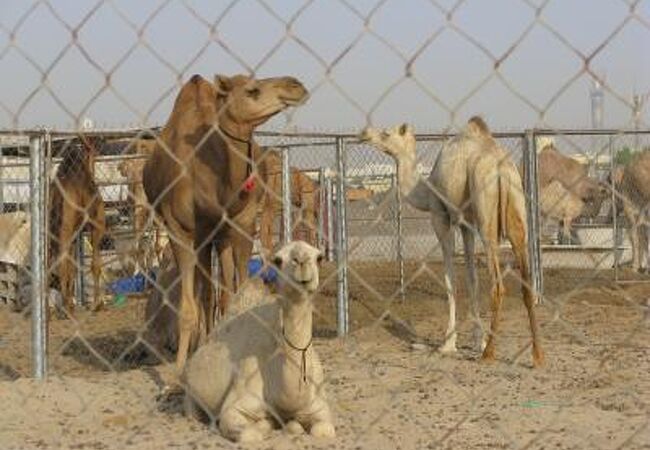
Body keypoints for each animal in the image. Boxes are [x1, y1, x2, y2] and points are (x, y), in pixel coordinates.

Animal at [48, 135, 105, 318]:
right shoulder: (97, 224)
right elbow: (95, 264)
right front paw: (97, 304)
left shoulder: (74, 234)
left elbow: (73, 267)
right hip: (66, 228)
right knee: (61, 261)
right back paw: (67, 310)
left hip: (52, 228)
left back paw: (54, 310)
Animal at [182, 241, 334, 442]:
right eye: (278, 260)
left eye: (319, 257)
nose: (301, 261)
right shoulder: (237, 402)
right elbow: (249, 432)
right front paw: (268, 426)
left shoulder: (319, 406)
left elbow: (324, 430)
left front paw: (292, 426)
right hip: (190, 389)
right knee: (192, 410)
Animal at [360, 118, 540, 368]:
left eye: (386, 133)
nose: (364, 133)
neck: (425, 189)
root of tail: (501, 168)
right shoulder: (466, 224)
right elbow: (472, 279)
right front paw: (477, 340)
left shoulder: (441, 216)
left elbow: (450, 279)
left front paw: (448, 344)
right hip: (517, 204)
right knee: (525, 279)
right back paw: (537, 356)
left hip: (486, 216)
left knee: (498, 285)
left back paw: (489, 354)